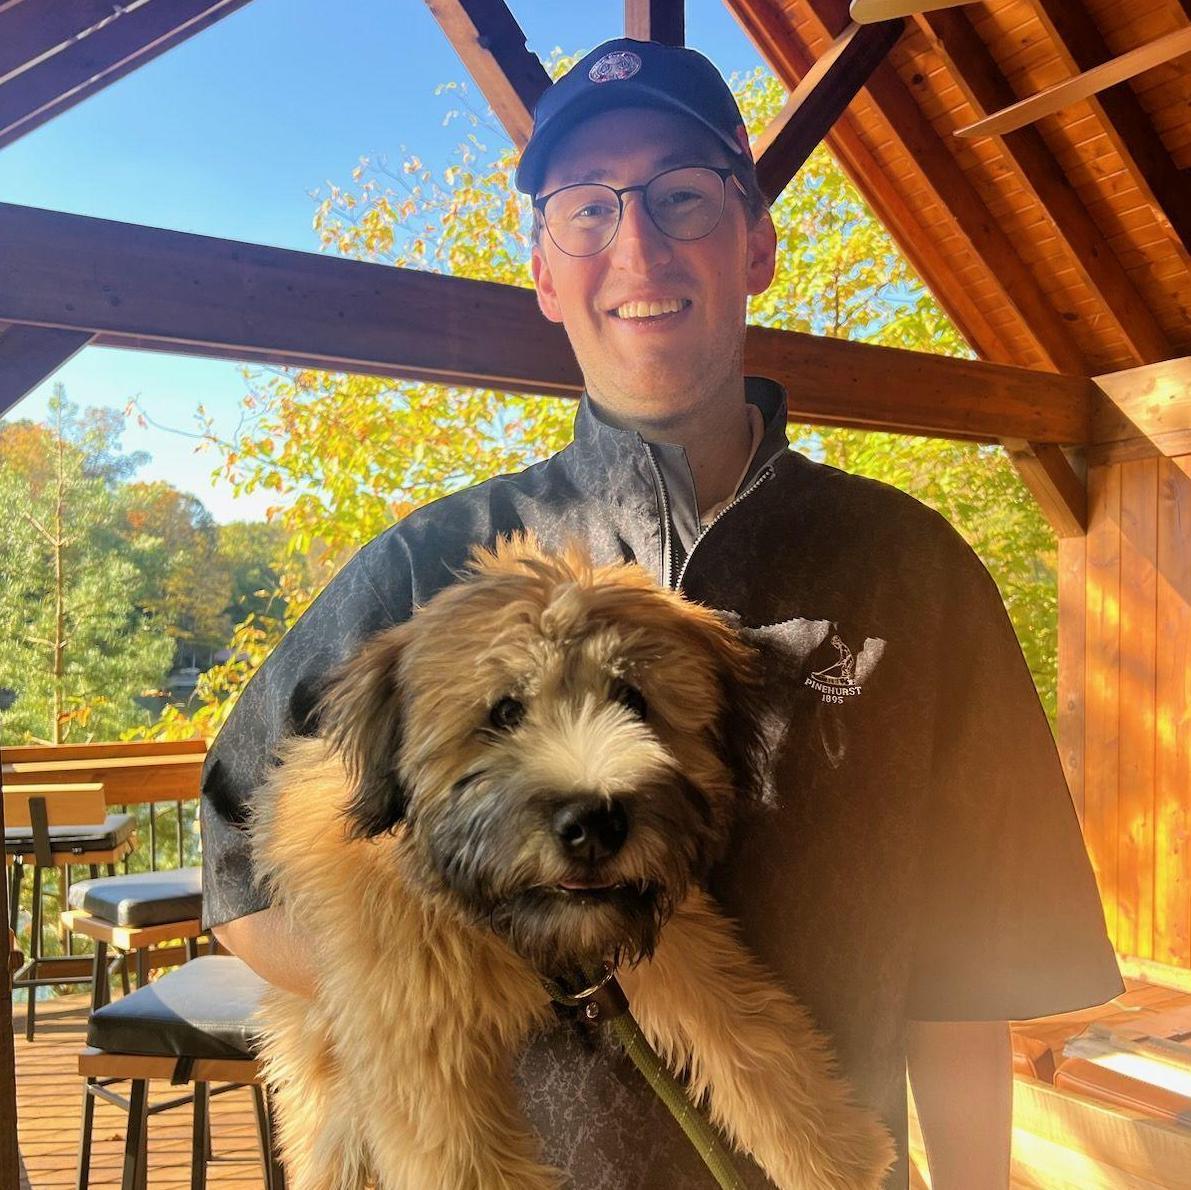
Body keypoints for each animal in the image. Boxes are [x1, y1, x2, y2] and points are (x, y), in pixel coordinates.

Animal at [251, 538, 895, 1190]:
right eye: (505, 712)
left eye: (633, 699)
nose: (594, 826)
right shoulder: (417, 1039)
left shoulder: (664, 938)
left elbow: (747, 1027)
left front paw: (838, 1157)